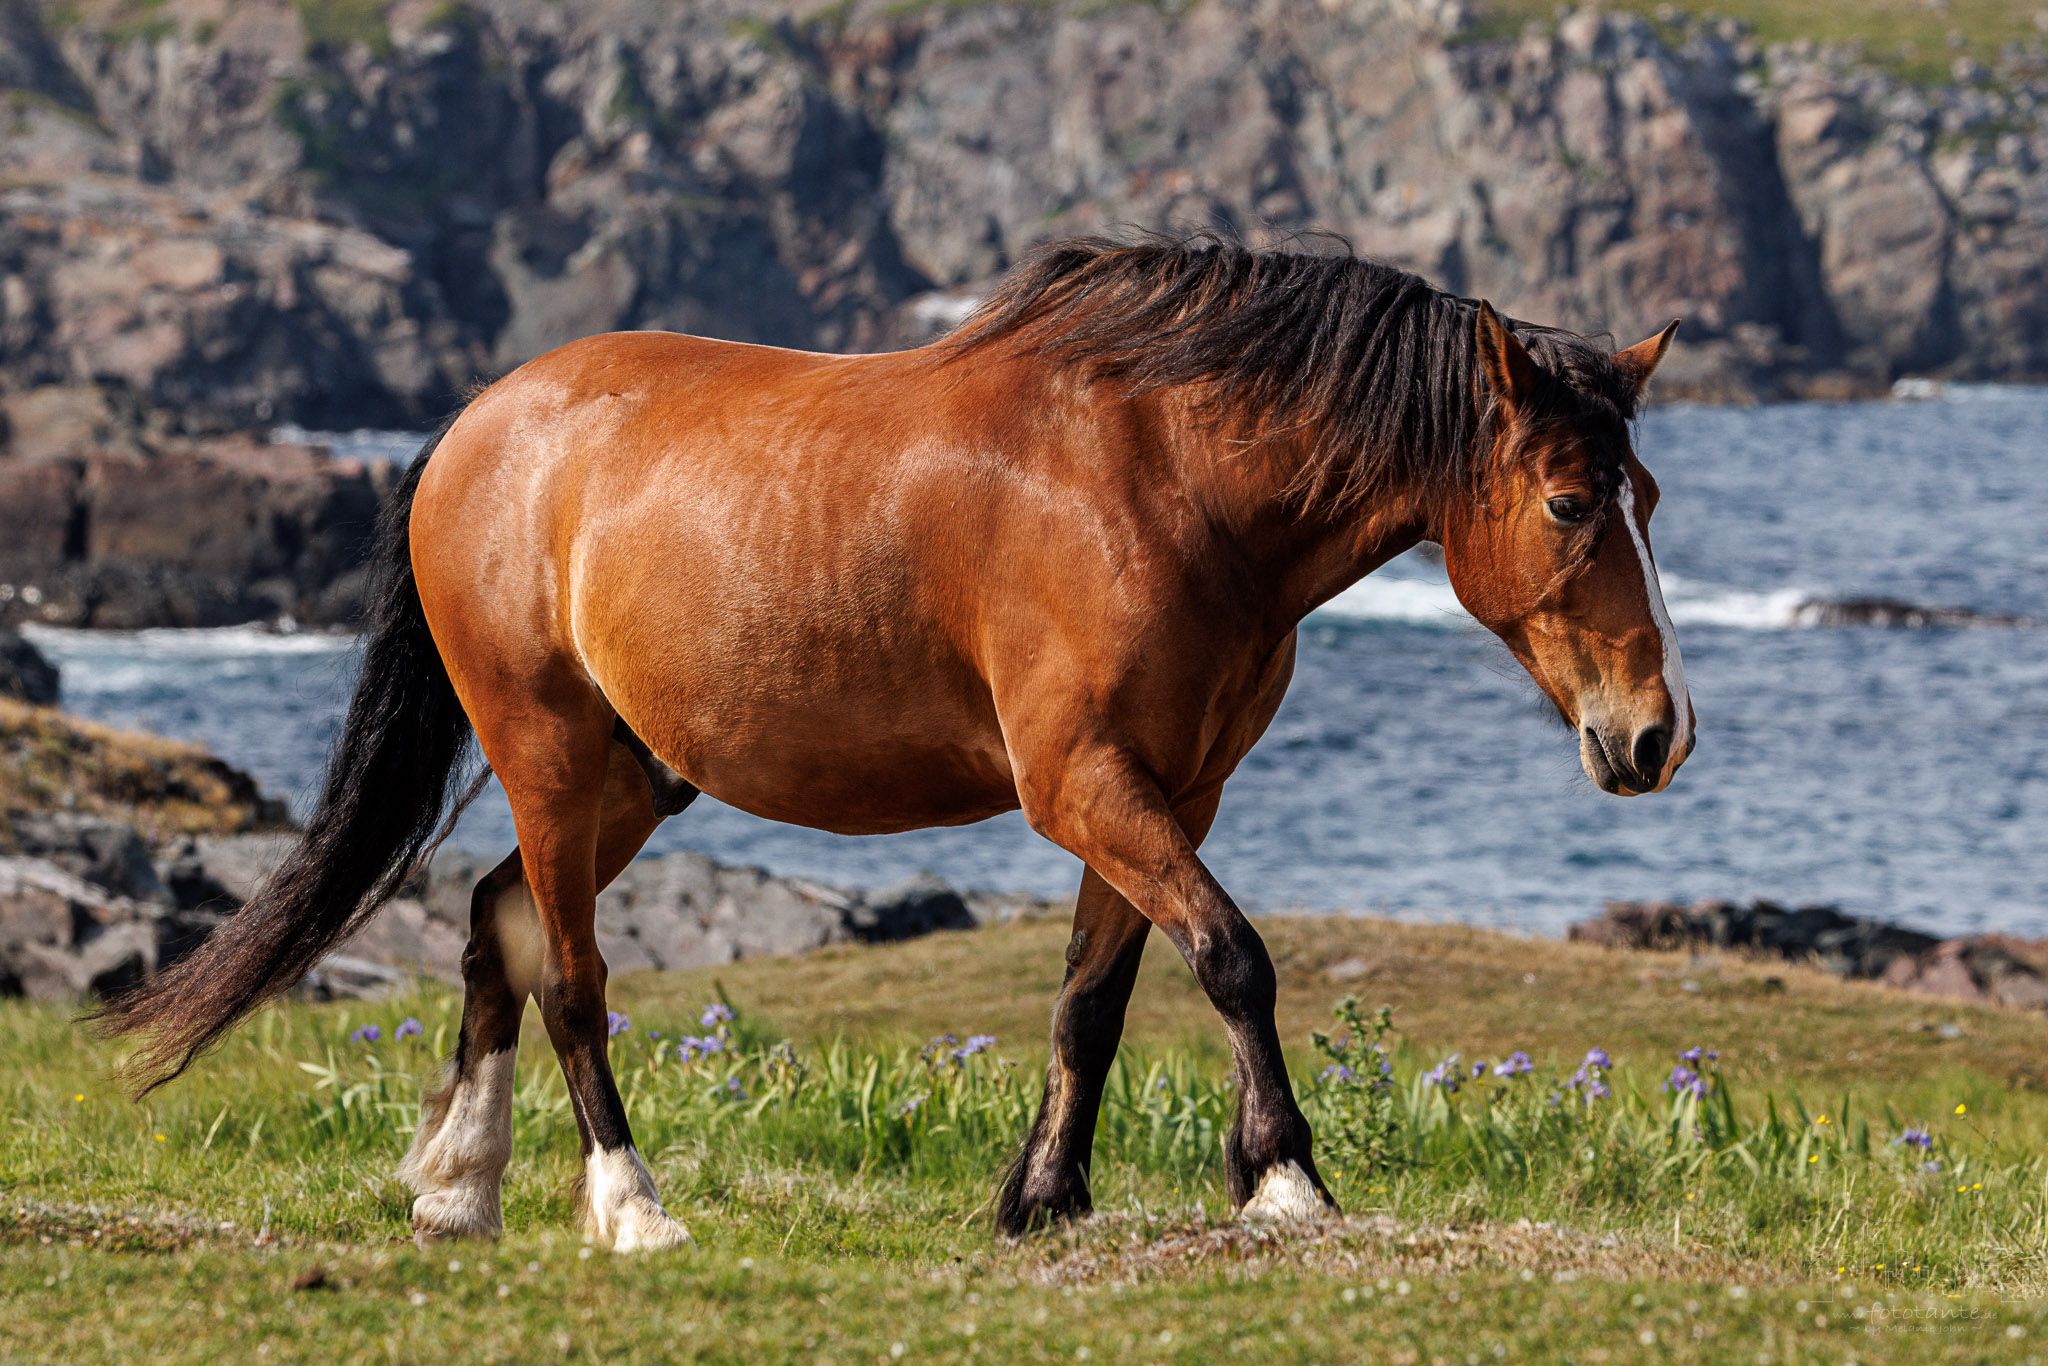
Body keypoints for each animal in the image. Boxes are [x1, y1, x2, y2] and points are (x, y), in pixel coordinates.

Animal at [97, 233, 1693, 1249]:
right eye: (1568, 503)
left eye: (1650, 495)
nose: (1654, 735)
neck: (1161, 486)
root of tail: (475, 428)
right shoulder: (1084, 784)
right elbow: (1233, 957)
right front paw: (1285, 1181)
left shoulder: (1168, 792)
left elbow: (1093, 999)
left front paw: (1040, 1199)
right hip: (548, 752)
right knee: (568, 978)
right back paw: (630, 1204)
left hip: (632, 774)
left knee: (496, 929)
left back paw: (457, 1189)